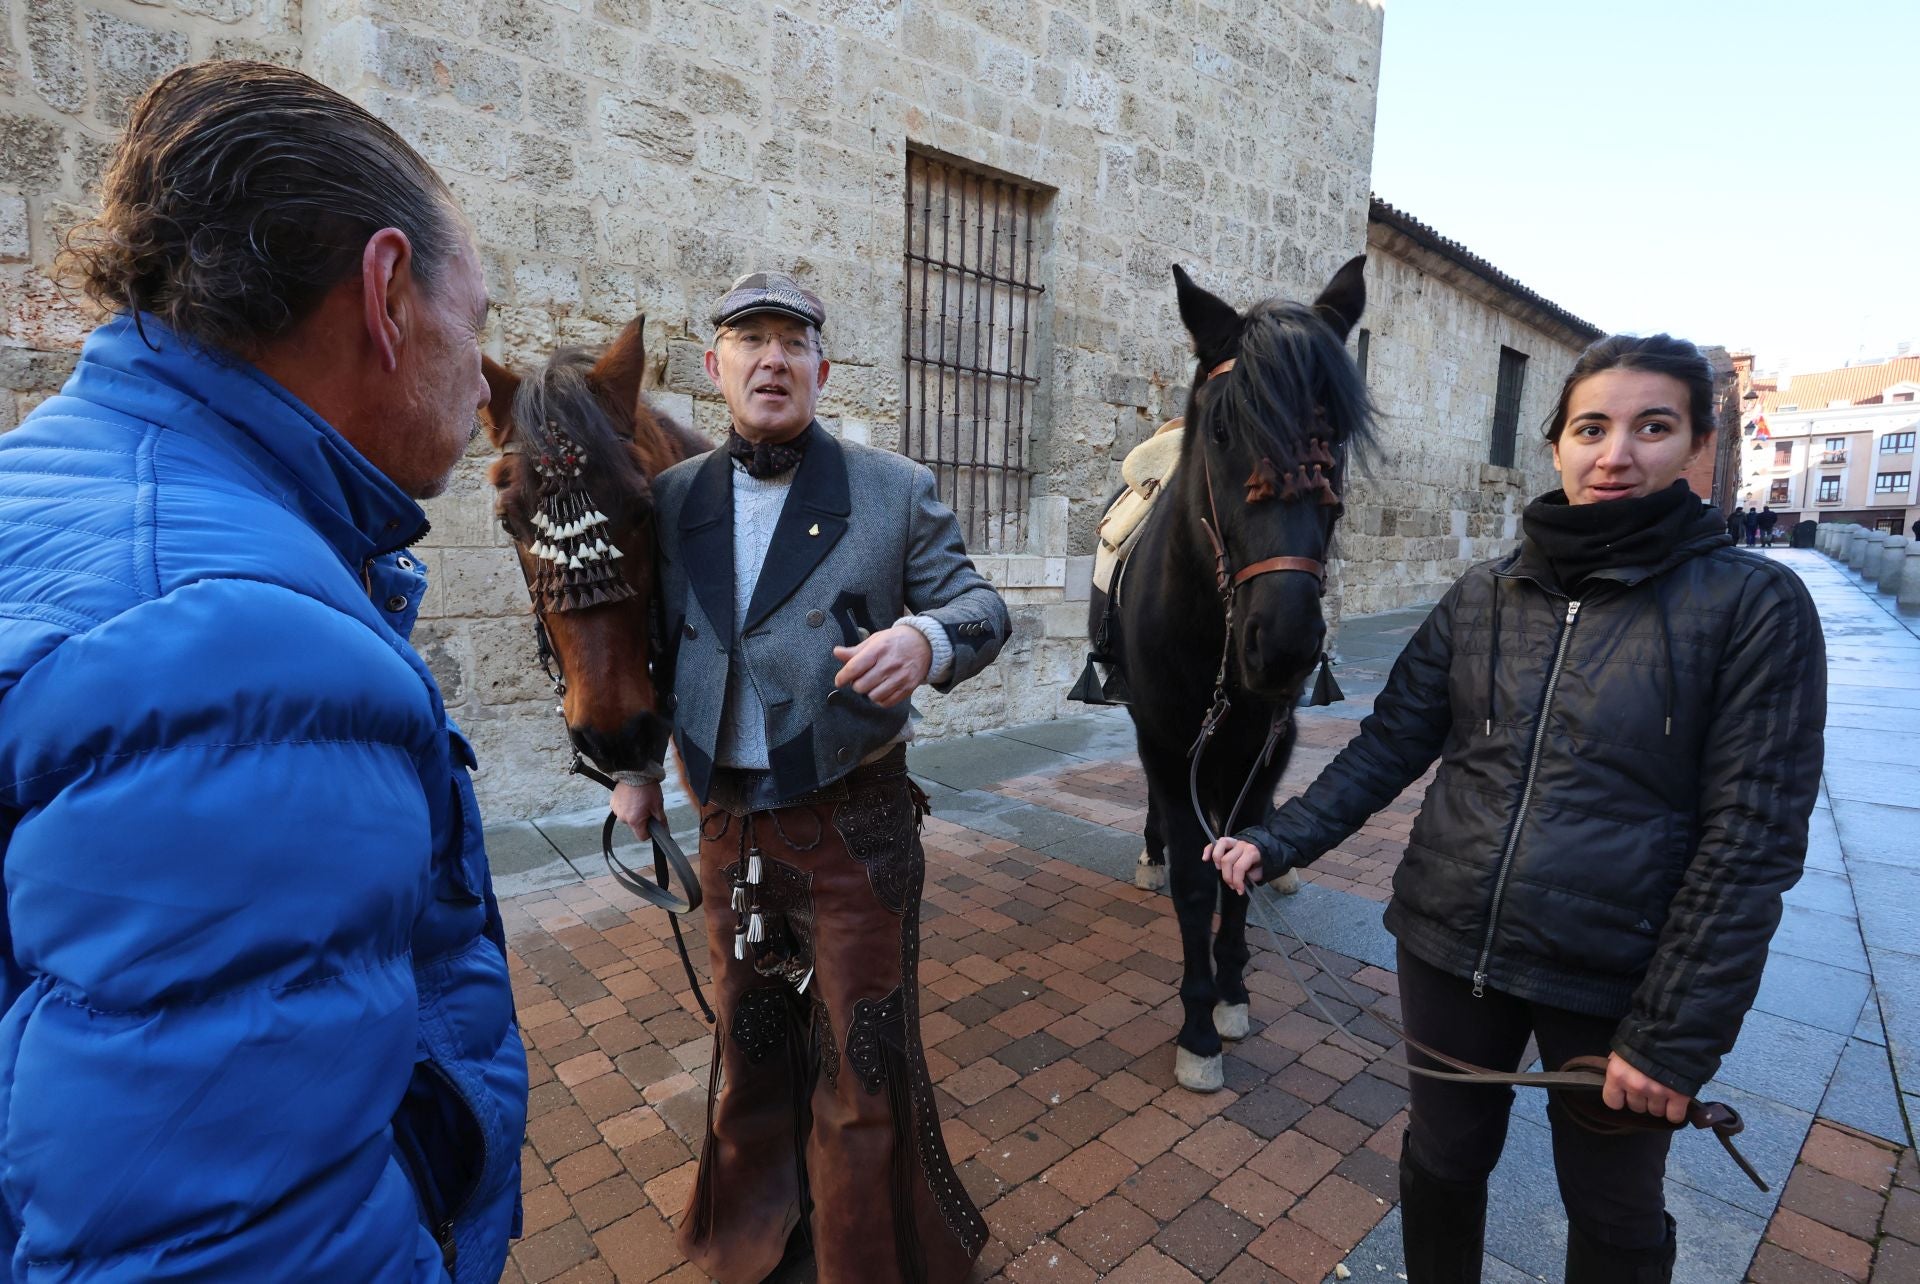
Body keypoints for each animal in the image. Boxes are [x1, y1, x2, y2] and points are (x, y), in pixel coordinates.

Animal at [1090, 262, 1374, 1090]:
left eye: (1335, 435)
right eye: (1221, 432)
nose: (1282, 645)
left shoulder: (1265, 746)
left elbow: (1242, 861)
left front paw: (1234, 992)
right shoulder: (1167, 739)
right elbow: (1195, 882)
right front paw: (1198, 1029)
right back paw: (1153, 854)